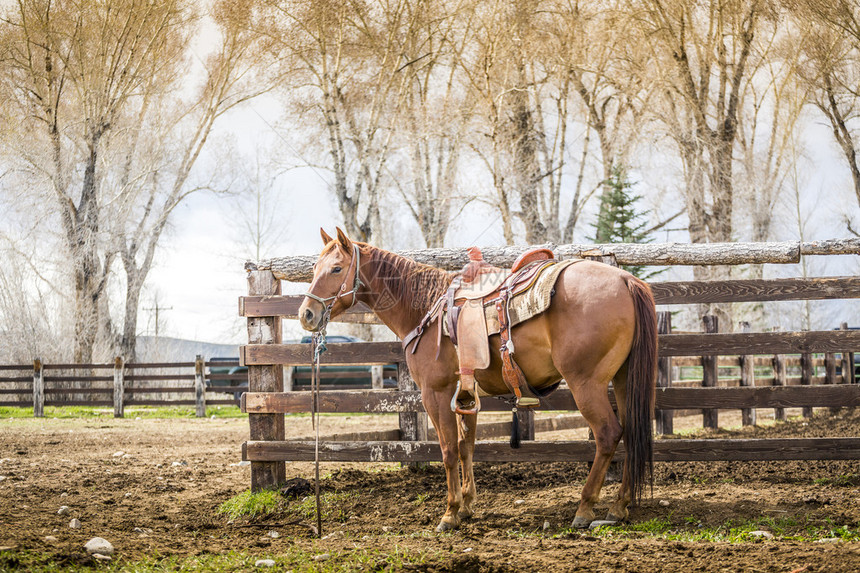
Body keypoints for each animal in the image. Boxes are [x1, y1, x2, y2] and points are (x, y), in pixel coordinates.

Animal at [298, 228, 656, 532]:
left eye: (336, 268)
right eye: (314, 267)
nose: (306, 315)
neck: (424, 308)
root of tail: (626, 279)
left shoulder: (435, 394)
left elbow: (447, 451)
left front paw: (450, 513)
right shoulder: (466, 395)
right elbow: (465, 446)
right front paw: (468, 506)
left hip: (586, 384)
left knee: (608, 434)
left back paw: (584, 509)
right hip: (622, 380)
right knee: (632, 430)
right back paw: (619, 507)